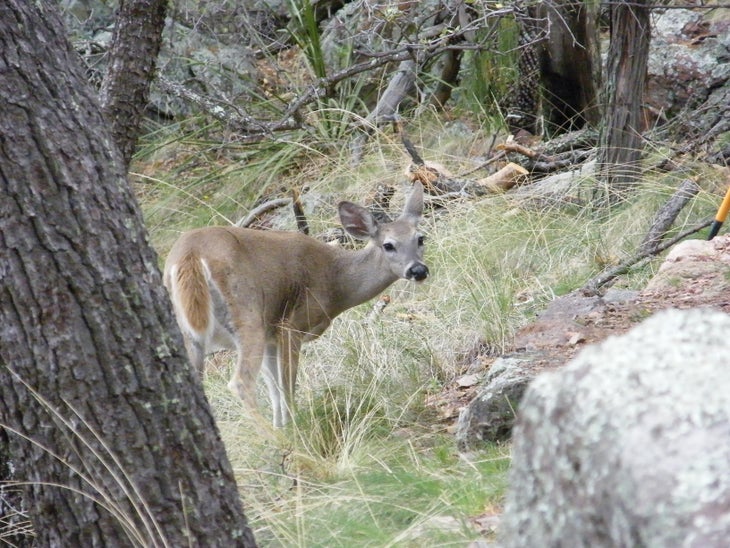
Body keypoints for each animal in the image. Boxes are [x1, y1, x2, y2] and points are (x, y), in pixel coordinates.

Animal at [164, 184, 426, 428]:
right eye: (388, 245)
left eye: (420, 238)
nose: (418, 270)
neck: (335, 281)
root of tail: (189, 256)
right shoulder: (291, 324)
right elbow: (287, 385)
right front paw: (296, 427)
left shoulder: (271, 335)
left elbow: (274, 390)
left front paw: (283, 426)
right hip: (247, 314)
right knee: (241, 382)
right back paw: (275, 440)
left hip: (189, 333)